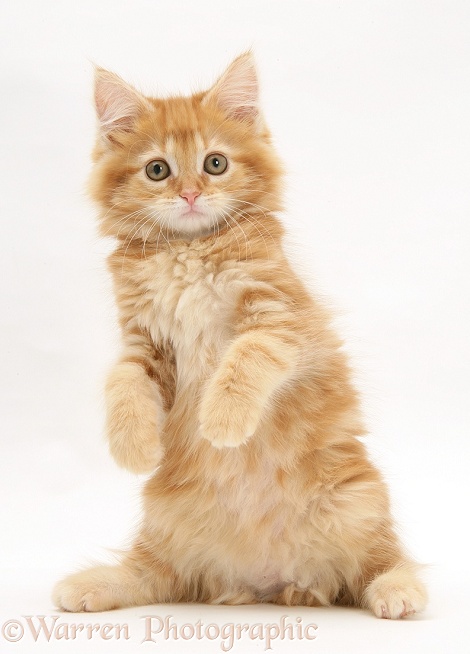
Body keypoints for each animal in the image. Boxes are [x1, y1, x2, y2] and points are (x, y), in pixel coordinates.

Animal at [53, 52, 428, 620]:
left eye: (215, 164)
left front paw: (222, 420)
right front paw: (134, 447)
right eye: (157, 170)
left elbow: (245, 358)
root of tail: (271, 580)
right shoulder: (143, 344)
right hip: (165, 521)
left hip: (358, 500)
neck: (186, 250)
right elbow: (122, 382)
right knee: (151, 574)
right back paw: (91, 584)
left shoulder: (282, 320)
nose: (190, 194)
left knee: (382, 561)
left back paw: (399, 592)